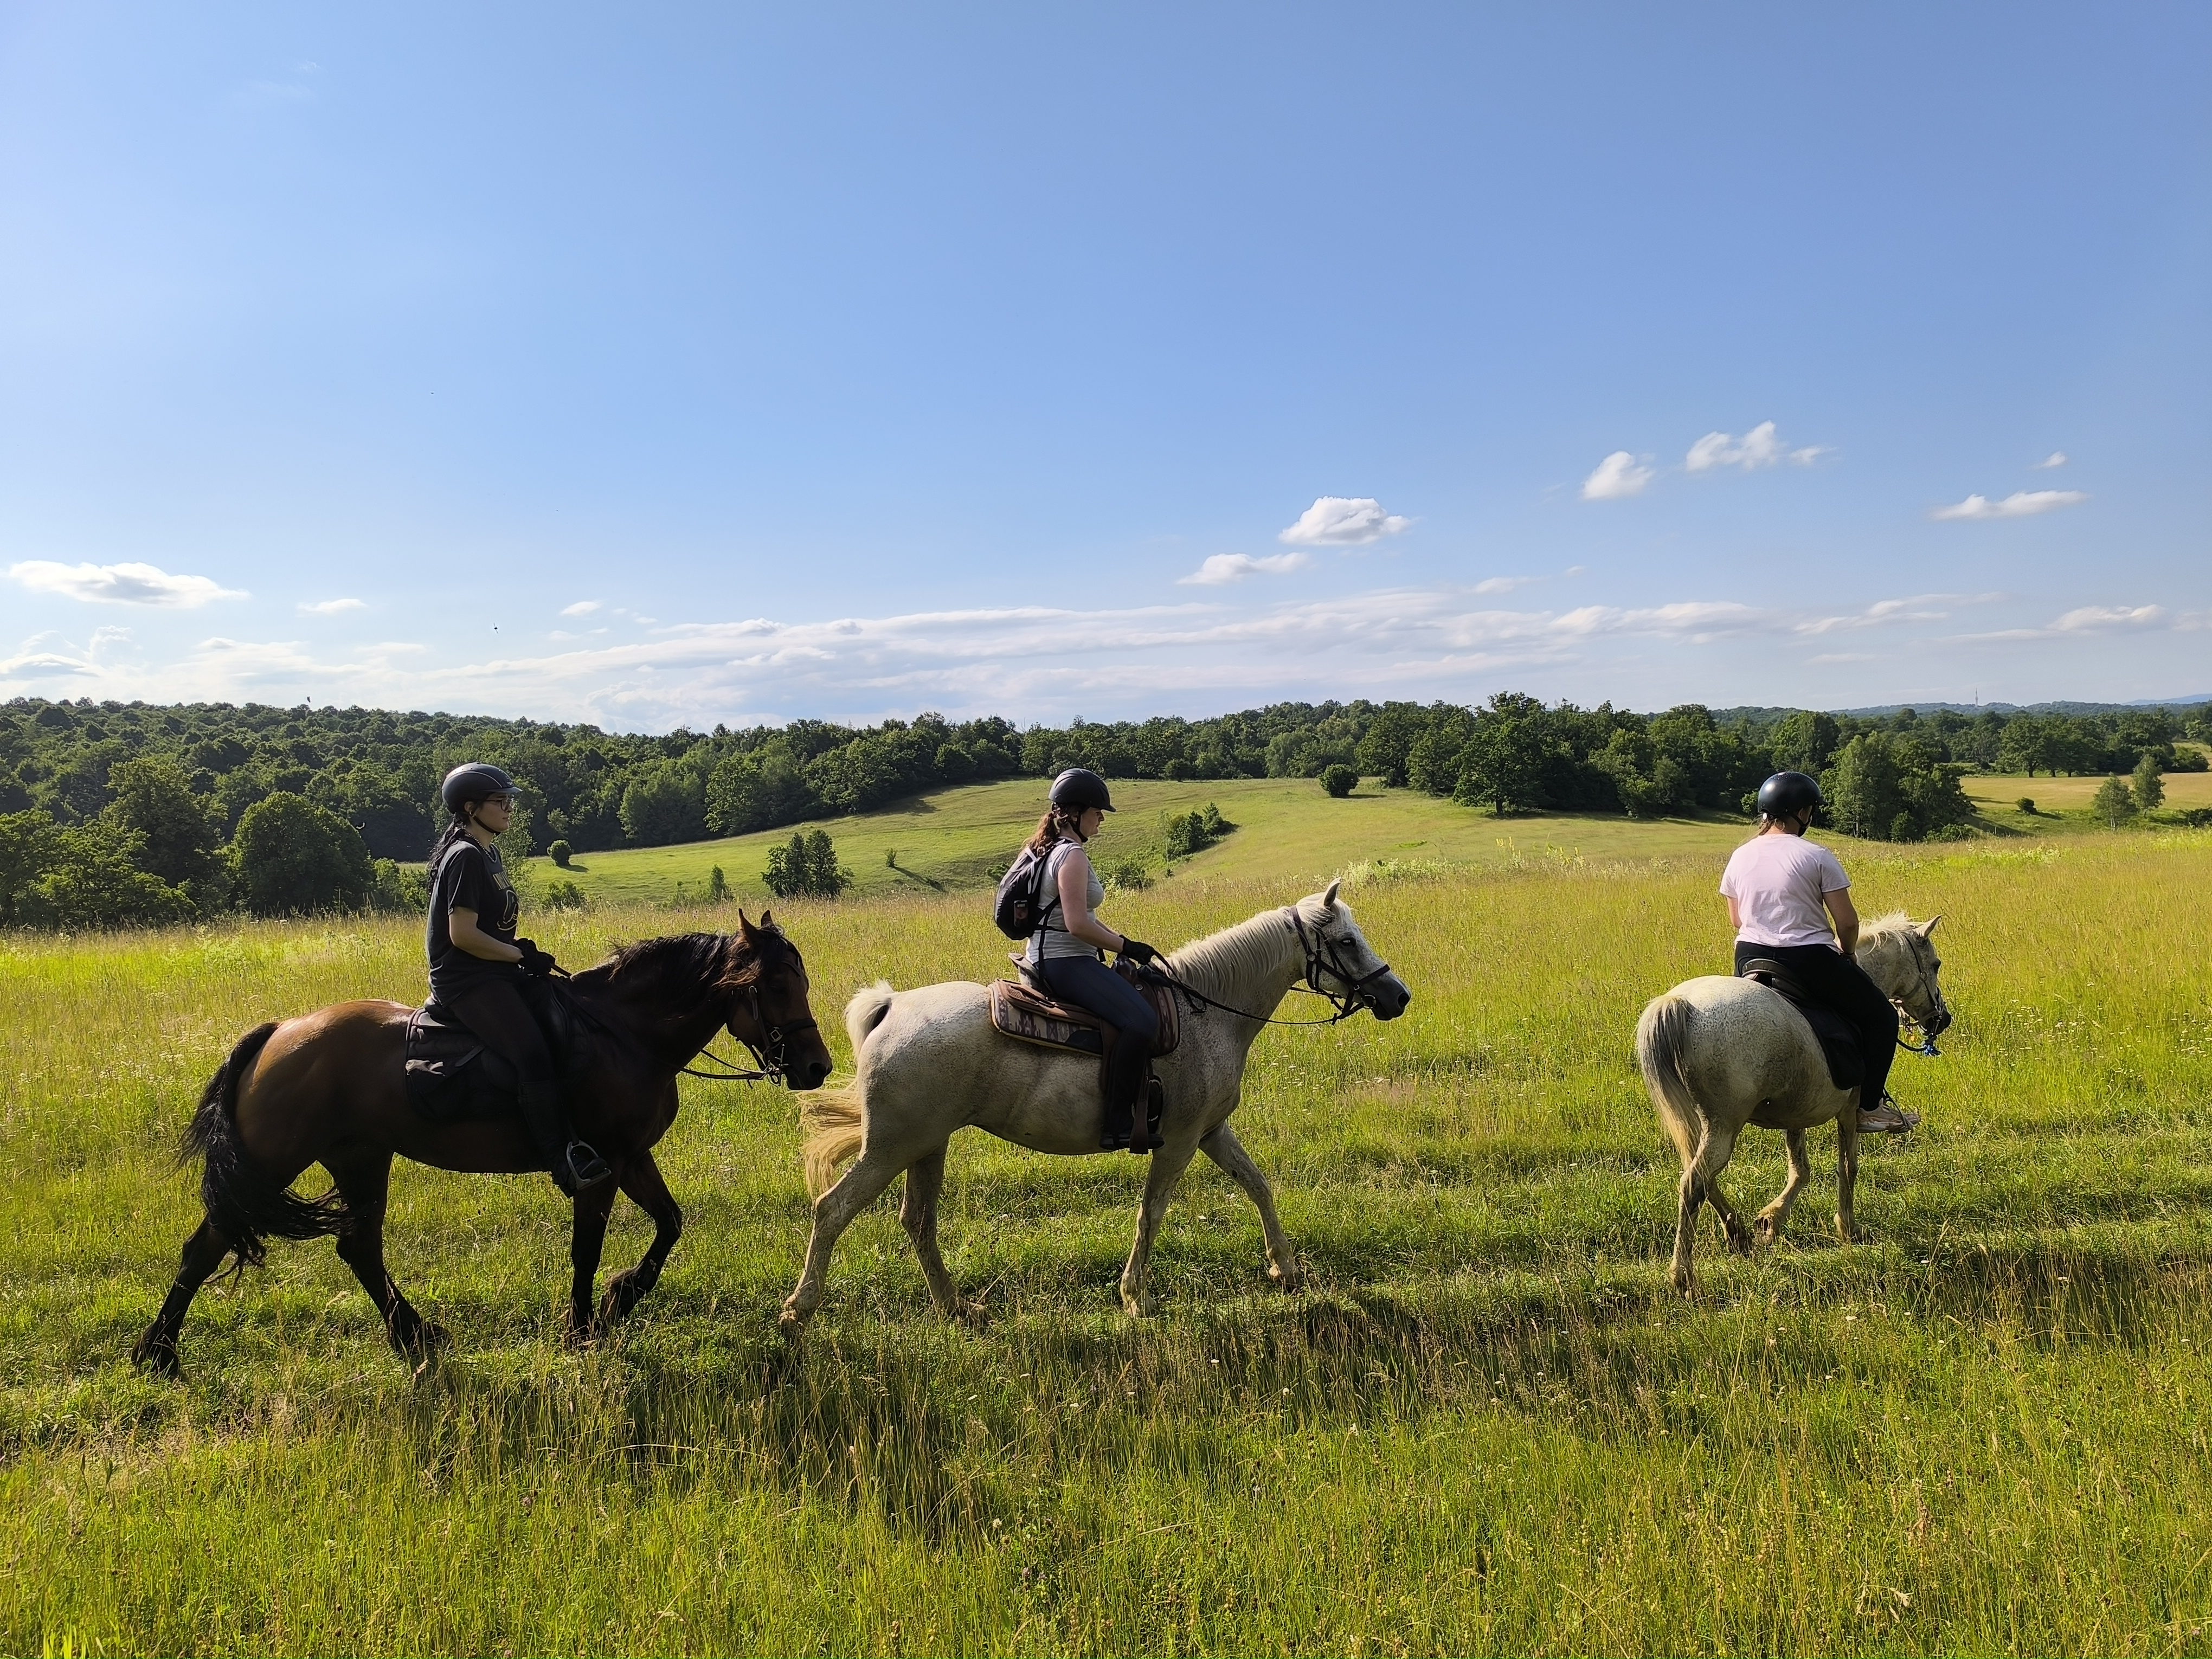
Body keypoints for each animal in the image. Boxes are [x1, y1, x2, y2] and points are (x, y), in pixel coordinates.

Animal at [136, 916, 832, 1371]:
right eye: (774, 986)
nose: (817, 1067)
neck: (623, 1032)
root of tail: (280, 1032)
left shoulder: (632, 1158)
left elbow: (669, 1225)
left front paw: (618, 1301)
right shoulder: (600, 1166)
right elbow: (587, 1250)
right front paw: (584, 1329)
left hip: (361, 1157)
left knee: (358, 1248)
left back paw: (414, 1337)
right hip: (276, 1159)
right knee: (208, 1245)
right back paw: (158, 1353)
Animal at [787, 885, 1406, 1336]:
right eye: (1346, 941)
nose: (1398, 997)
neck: (1207, 1013)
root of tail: (891, 1007)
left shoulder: (1211, 1132)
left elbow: (1257, 1184)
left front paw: (1287, 1267)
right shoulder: (1180, 1141)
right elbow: (1151, 1212)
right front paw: (1136, 1297)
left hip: (926, 1146)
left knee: (917, 1221)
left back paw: (957, 1306)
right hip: (891, 1148)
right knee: (833, 1209)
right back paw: (801, 1306)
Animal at [1628, 911, 1955, 1301]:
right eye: (1935, 964)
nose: (1942, 1019)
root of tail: (1678, 1003)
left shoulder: (1796, 1110)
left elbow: (1801, 1169)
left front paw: (1772, 1220)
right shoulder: (1849, 1111)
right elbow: (1848, 1167)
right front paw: (1848, 1229)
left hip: (1701, 1122)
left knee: (1701, 1178)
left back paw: (1738, 1233)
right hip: (1724, 1123)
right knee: (1695, 1182)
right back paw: (1684, 1276)